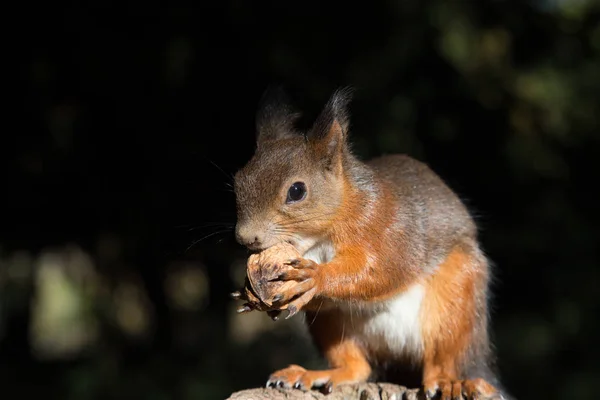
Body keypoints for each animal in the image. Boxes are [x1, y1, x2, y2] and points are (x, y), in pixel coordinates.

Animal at [232, 88, 508, 400]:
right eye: (238, 181)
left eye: (297, 190)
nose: (245, 237)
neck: (317, 238)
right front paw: (250, 292)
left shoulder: (389, 226)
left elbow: (383, 270)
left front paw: (316, 276)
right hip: (332, 327)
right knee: (357, 367)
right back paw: (314, 374)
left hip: (455, 303)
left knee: (442, 360)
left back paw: (451, 382)